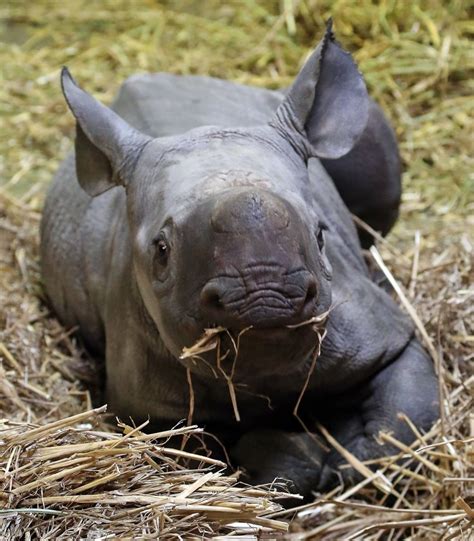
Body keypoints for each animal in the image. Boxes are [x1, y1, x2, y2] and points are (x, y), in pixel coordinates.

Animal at [42, 26, 438, 498]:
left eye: (321, 234)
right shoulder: (145, 409)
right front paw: (300, 460)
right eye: (161, 251)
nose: (266, 296)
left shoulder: (382, 334)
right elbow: (213, 444)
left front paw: (352, 462)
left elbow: (404, 415)